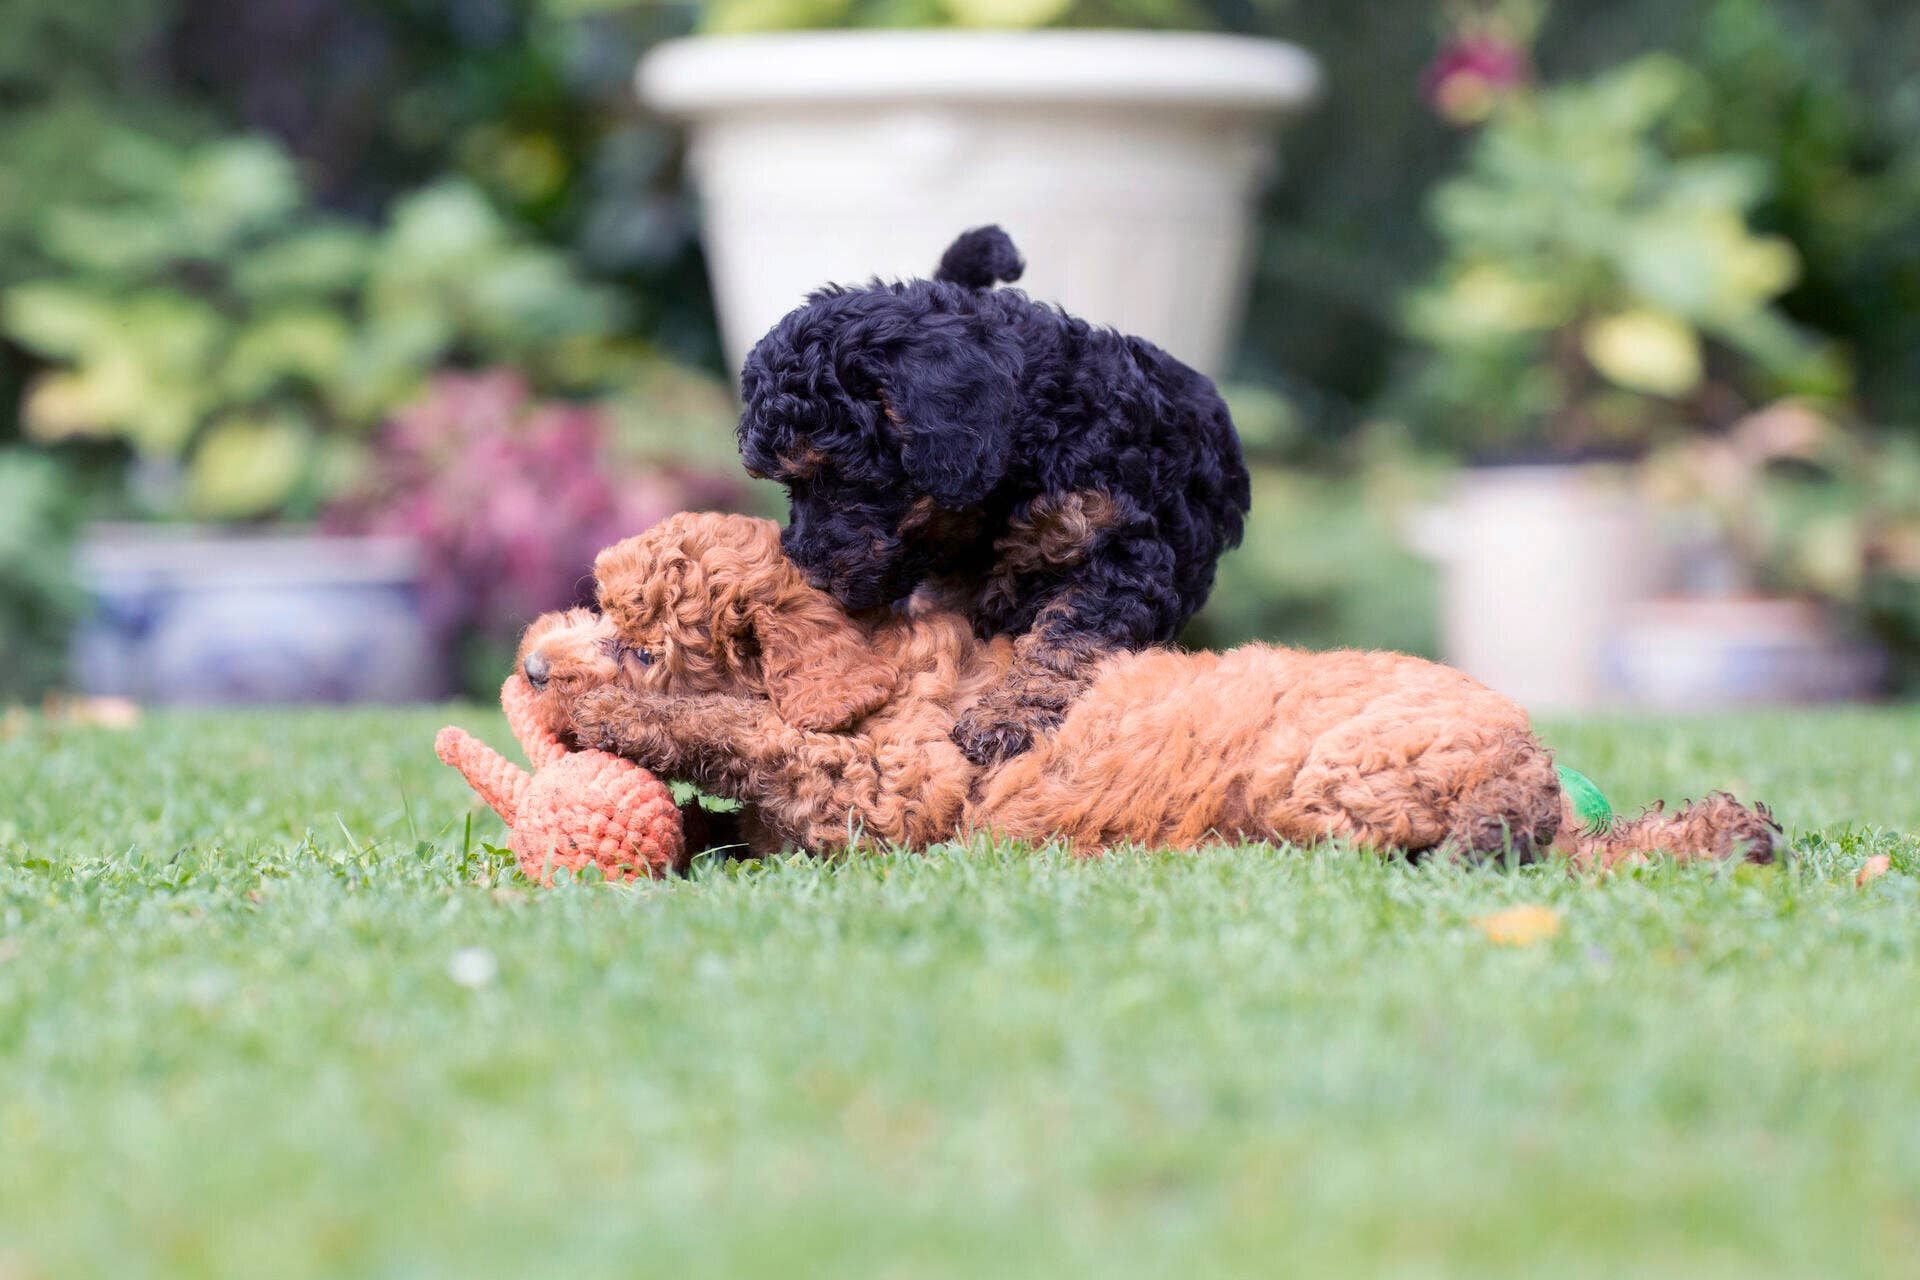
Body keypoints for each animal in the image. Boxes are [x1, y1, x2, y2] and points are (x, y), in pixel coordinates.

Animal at [729, 225, 1244, 767]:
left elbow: (1064, 636)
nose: (810, 575)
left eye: (844, 477)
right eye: (788, 487)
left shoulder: (1122, 553)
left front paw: (1007, 717)